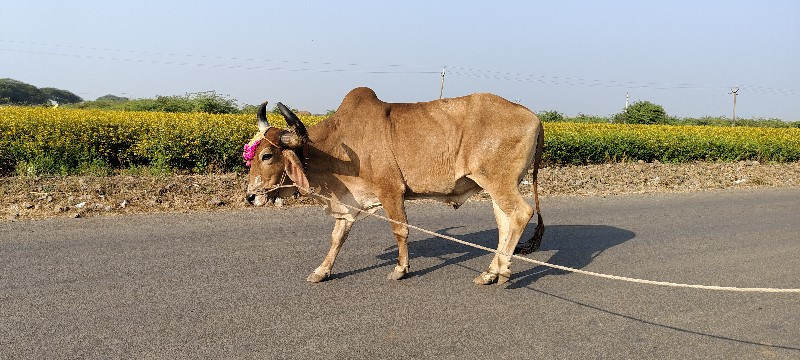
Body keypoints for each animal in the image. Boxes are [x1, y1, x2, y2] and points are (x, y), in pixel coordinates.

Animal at [244, 86, 544, 284]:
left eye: (266, 155)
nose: (250, 197)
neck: (340, 146)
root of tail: (534, 117)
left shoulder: (390, 191)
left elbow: (400, 230)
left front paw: (401, 269)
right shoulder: (349, 203)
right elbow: (337, 237)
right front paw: (322, 270)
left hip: (499, 182)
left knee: (521, 214)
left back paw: (503, 270)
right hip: (497, 186)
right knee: (504, 223)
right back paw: (491, 272)